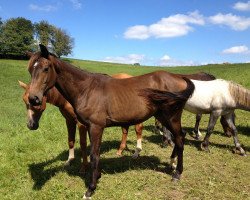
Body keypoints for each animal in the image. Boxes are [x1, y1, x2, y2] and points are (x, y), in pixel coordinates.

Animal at [27, 44, 195, 198]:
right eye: (30, 70)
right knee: (180, 137)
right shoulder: (90, 127)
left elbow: (94, 154)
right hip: (163, 117)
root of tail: (180, 78)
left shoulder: (96, 127)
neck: (86, 89)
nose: (33, 98)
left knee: (180, 139)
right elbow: (95, 152)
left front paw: (90, 188)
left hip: (171, 117)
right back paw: (172, 164)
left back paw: (177, 173)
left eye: (46, 68)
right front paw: (97, 176)